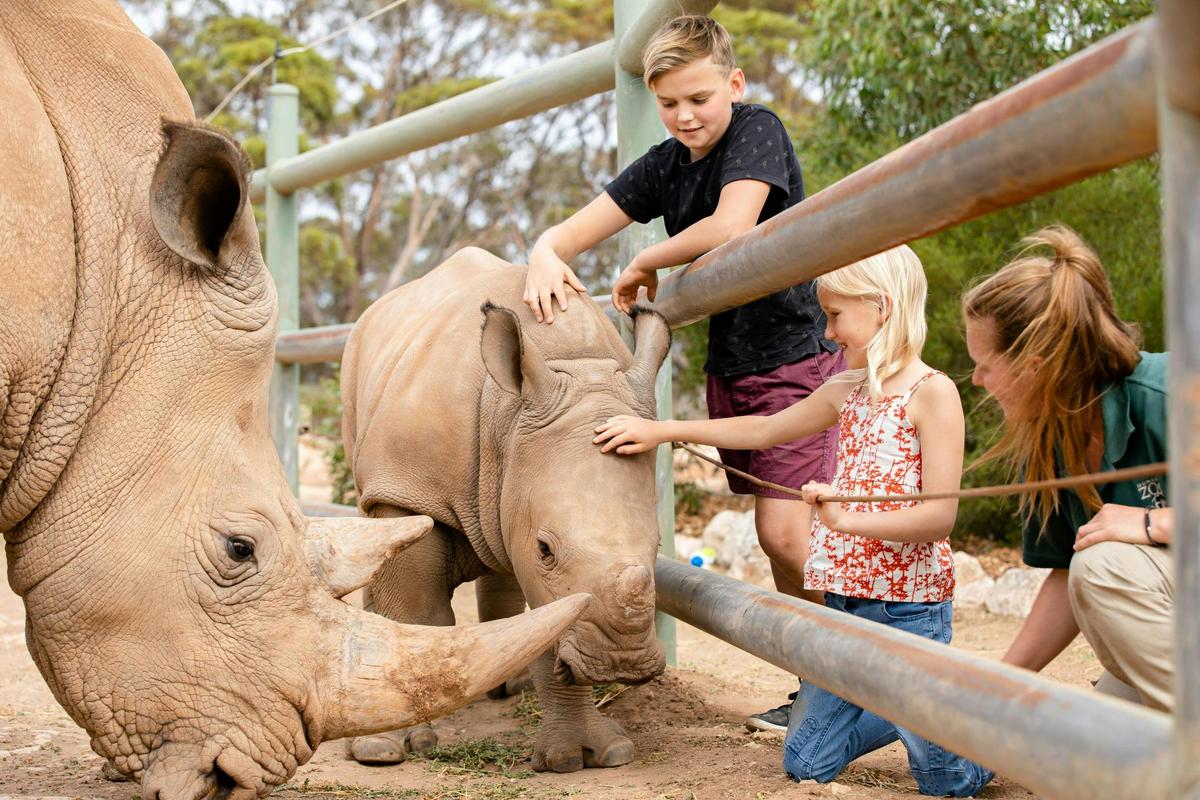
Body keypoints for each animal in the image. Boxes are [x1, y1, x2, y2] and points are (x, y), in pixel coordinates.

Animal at [341, 248, 672, 773]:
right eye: (545, 549)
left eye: (657, 545)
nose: (622, 661)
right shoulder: (406, 488)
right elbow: (416, 607)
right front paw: (383, 748)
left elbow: (550, 626)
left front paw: (591, 754)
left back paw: (506, 685)